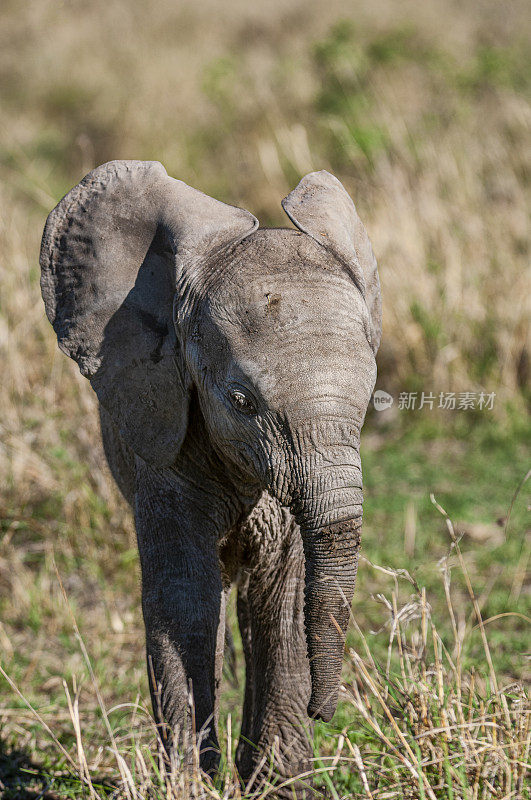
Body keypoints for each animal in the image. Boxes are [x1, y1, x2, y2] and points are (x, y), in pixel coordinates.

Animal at [41, 161, 382, 792]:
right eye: (241, 401)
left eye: (370, 397)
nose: (325, 711)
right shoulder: (164, 455)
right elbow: (187, 599)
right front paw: (188, 785)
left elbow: (281, 597)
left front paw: (277, 788)